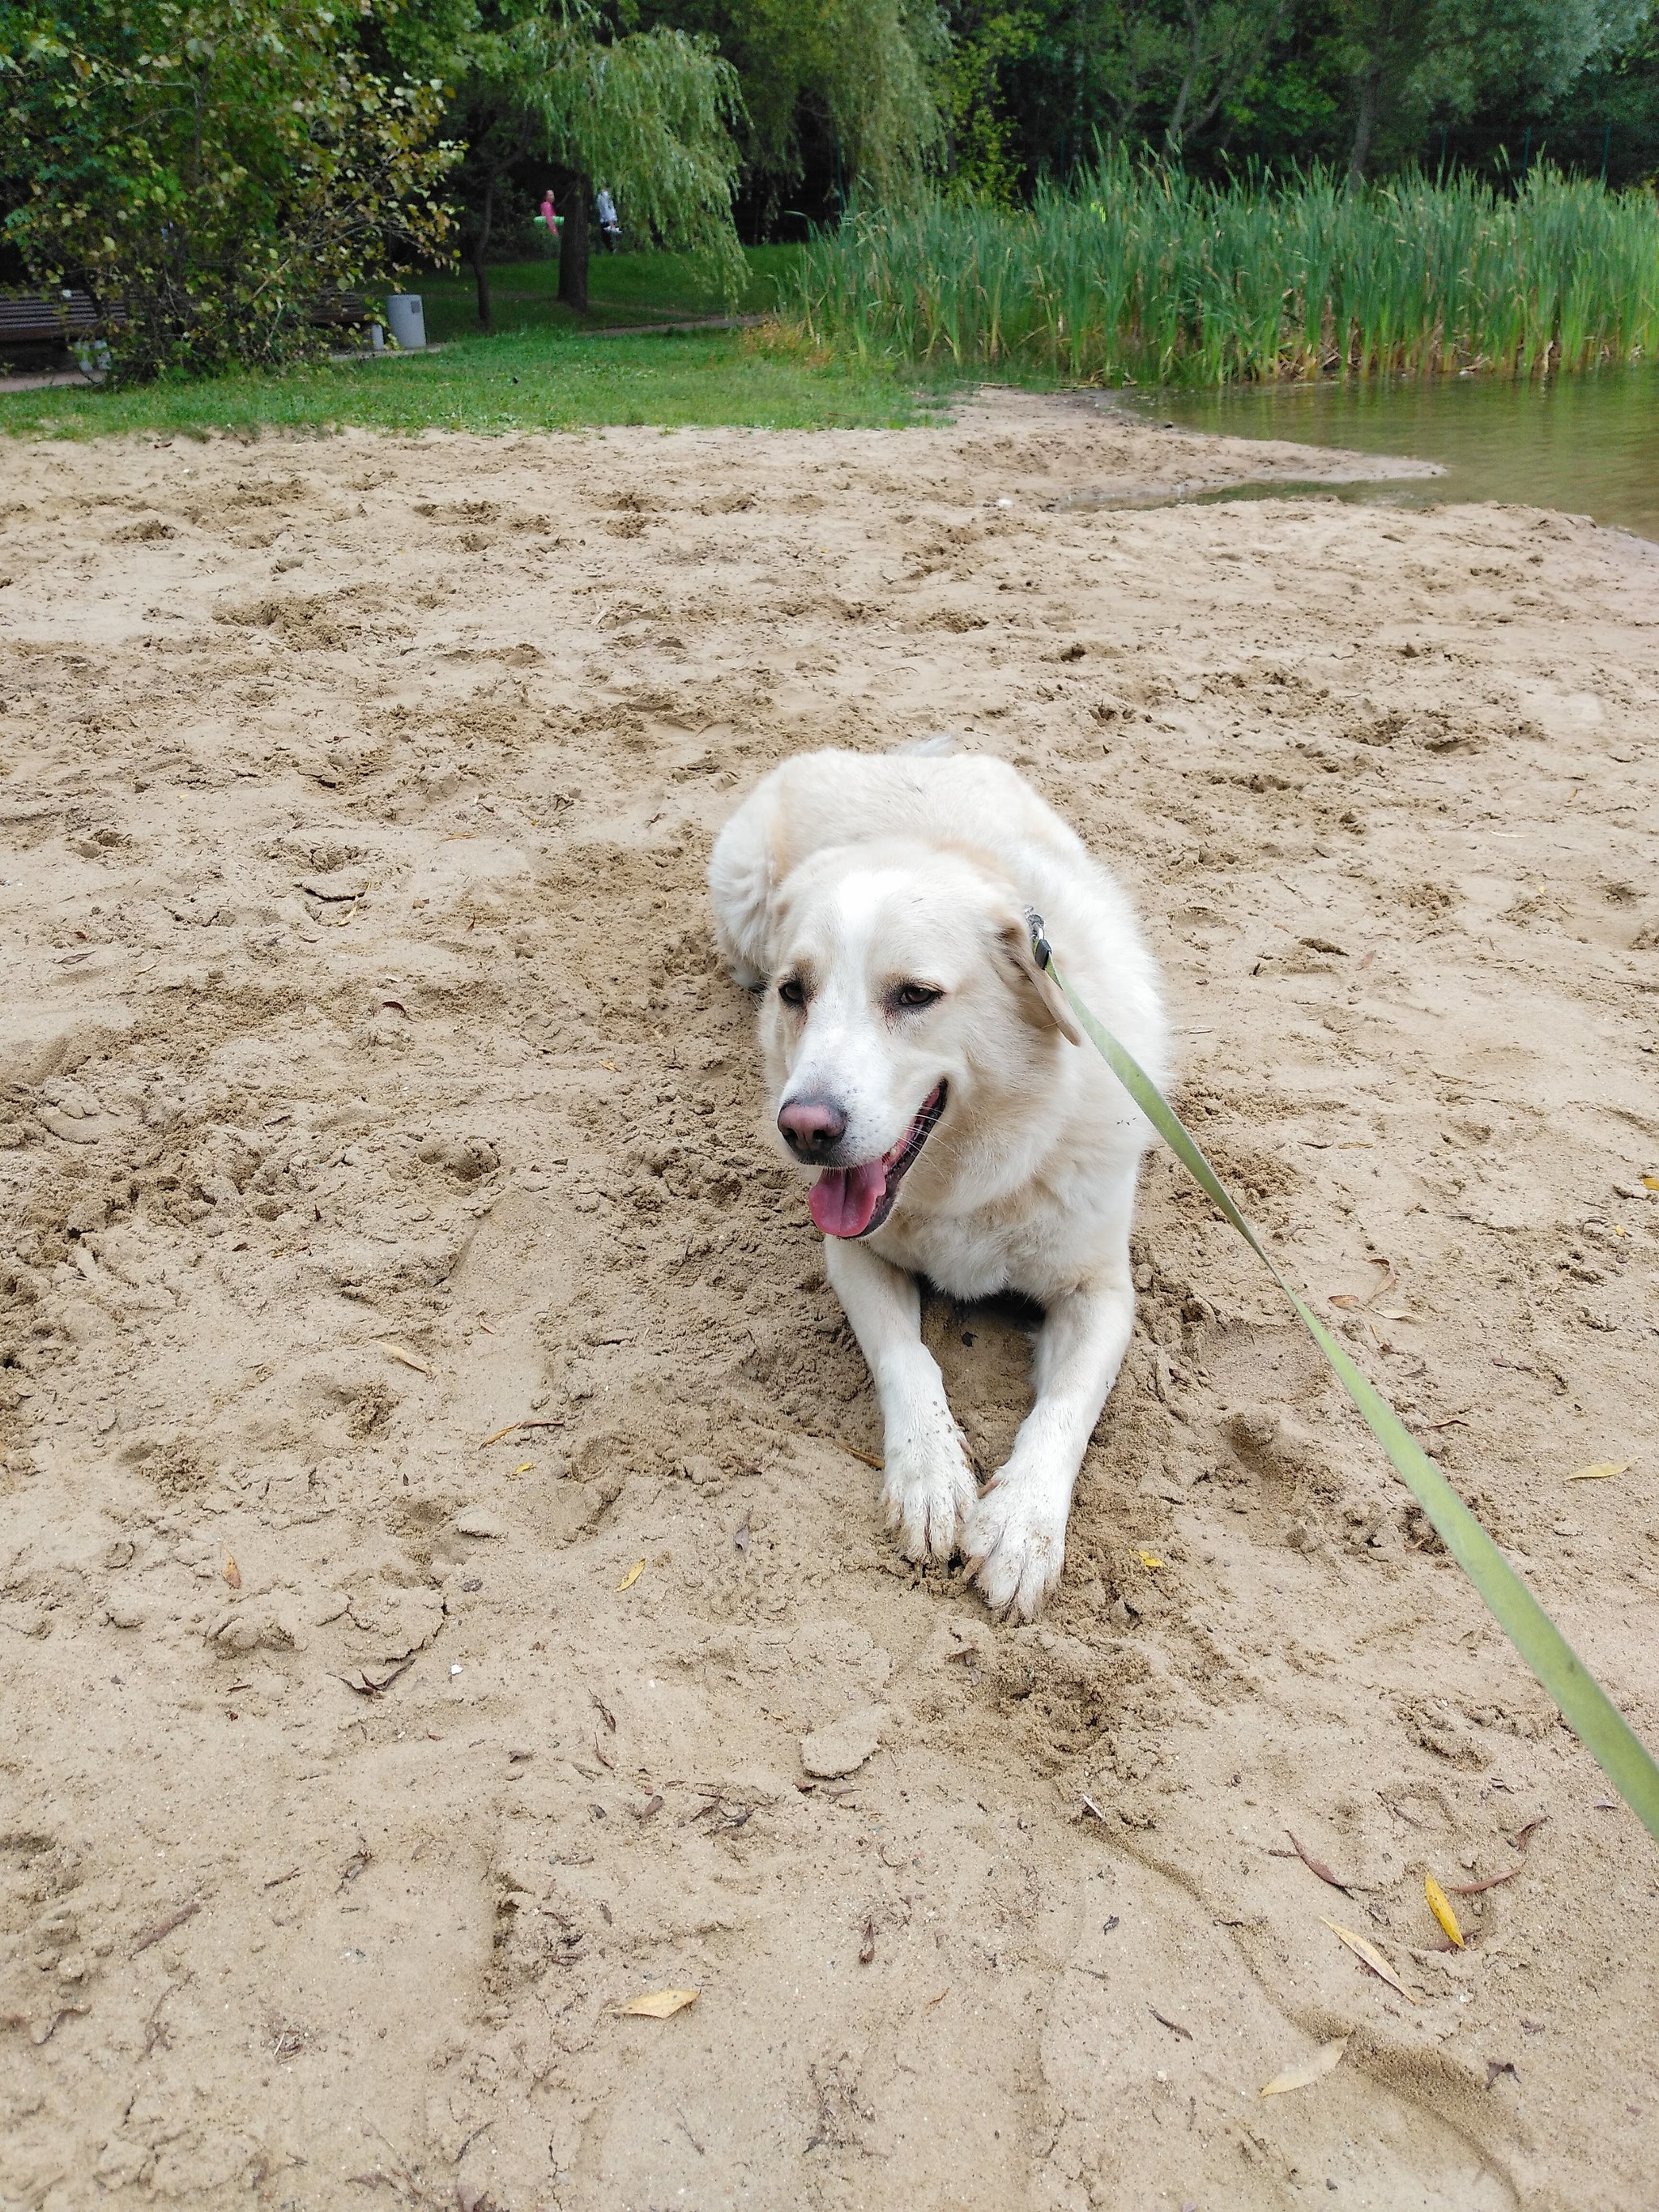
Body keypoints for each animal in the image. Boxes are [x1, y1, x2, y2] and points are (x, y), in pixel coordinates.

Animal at [712, 748, 1167, 1628]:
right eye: (796, 992)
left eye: (915, 995)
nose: (802, 1129)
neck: (974, 1178)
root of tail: (889, 752)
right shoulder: (853, 1256)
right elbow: (906, 1360)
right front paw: (929, 1477)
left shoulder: (1101, 1292)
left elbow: (1064, 1410)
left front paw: (1020, 1526)